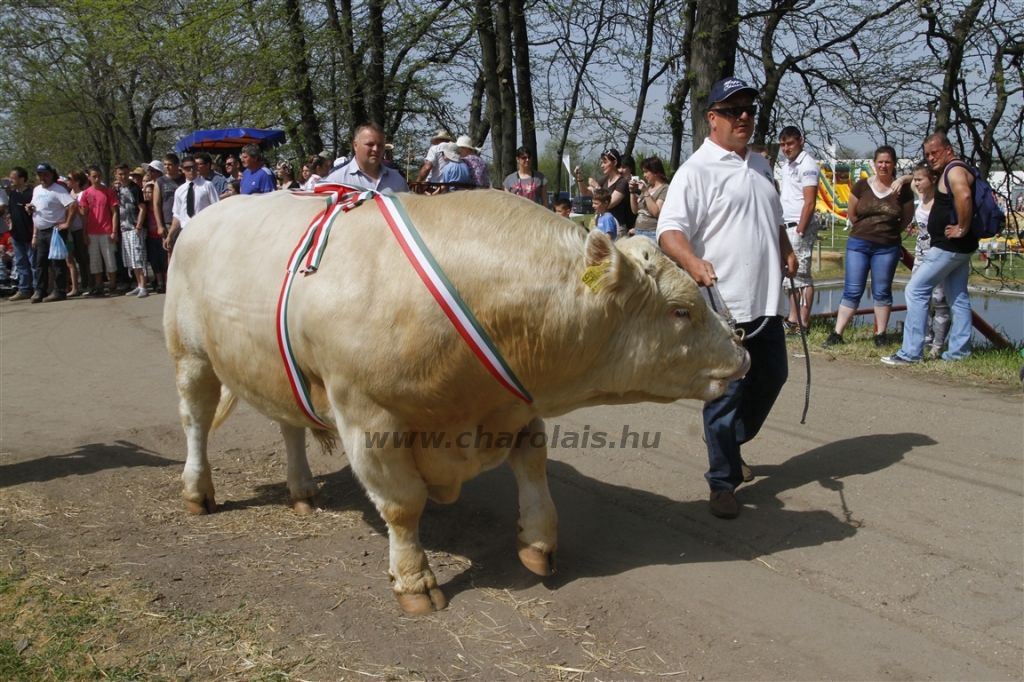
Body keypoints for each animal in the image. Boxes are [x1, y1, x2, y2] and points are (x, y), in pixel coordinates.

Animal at [163, 188, 749, 614]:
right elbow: (403, 504)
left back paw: (302, 489)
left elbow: (534, 467)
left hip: (275, 369)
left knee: (288, 425)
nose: (742, 351)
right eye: (680, 311)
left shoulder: (514, 406)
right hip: (190, 354)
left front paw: (539, 543)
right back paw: (198, 491)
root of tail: (210, 210)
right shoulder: (366, 415)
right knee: (194, 419)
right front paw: (414, 581)